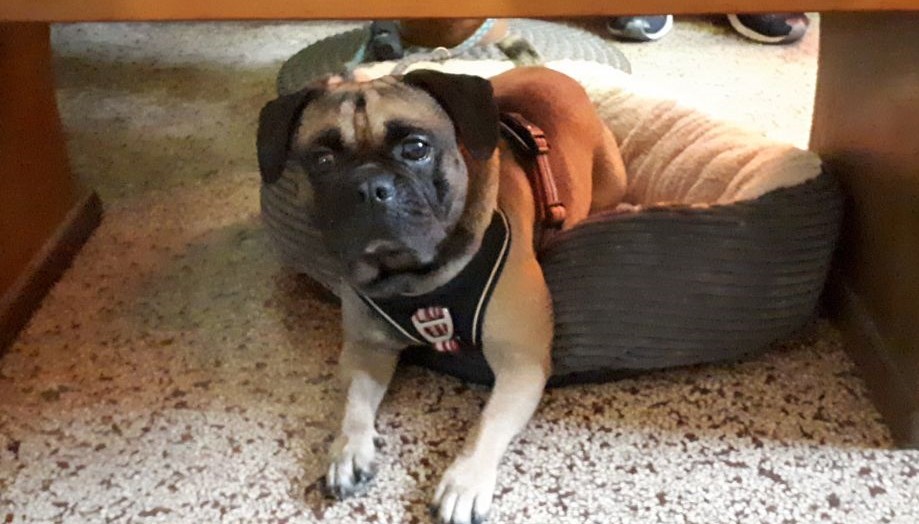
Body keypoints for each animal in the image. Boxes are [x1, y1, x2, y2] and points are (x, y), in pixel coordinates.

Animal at [257, 66, 628, 524]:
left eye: (416, 148)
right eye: (322, 160)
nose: (369, 187)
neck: (416, 280)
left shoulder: (520, 365)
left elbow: (487, 422)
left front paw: (464, 481)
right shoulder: (365, 350)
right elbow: (355, 404)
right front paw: (348, 450)